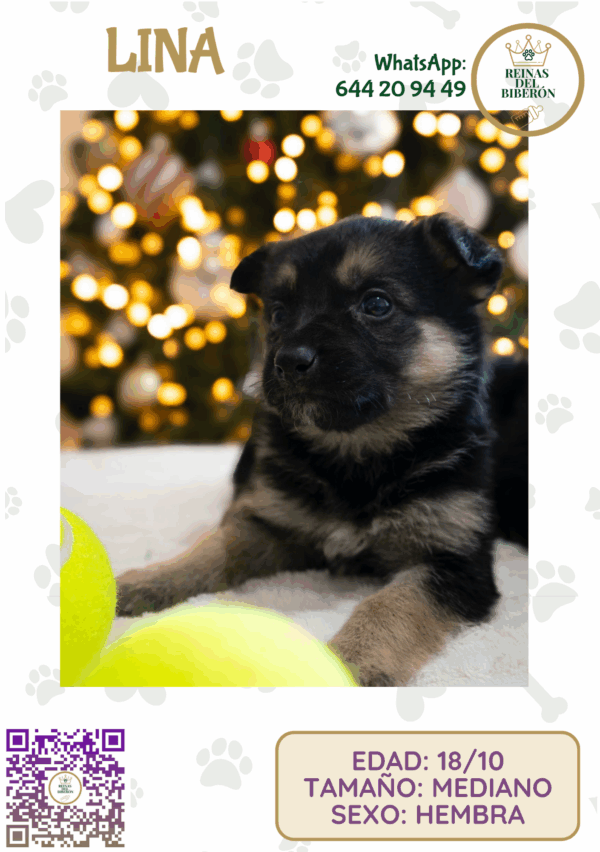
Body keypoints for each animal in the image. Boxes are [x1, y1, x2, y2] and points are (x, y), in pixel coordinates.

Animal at [117, 212, 527, 686]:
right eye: (278, 313)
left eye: (377, 304)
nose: (288, 361)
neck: (357, 453)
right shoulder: (269, 522)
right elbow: (214, 547)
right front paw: (150, 580)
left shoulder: (454, 562)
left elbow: (390, 604)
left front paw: (352, 661)